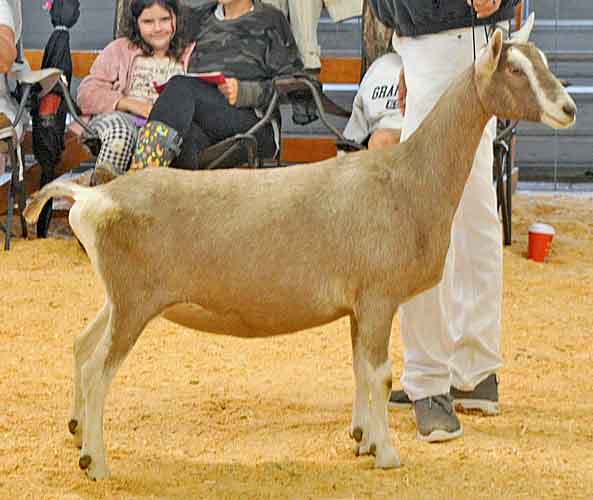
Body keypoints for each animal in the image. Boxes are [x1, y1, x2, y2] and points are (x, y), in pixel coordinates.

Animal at [24, 23, 576, 480]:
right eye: (516, 69)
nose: (569, 110)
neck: (407, 177)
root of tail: (92, 196)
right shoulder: (379, 297)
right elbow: (380, 375)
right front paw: (388, 454)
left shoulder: (359, 305)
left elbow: (360, 369)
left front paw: (362, 440)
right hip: (134, 303)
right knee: (98, 368)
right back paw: (95, 462)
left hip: (118, 298)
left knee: (80, 346)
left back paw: (76, 429)